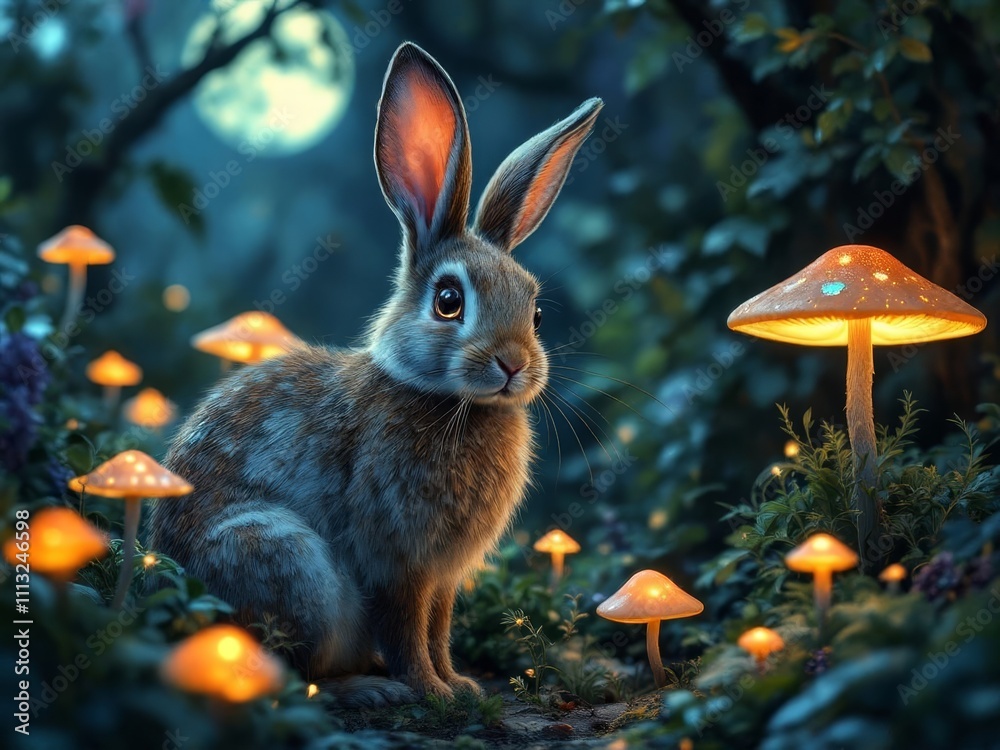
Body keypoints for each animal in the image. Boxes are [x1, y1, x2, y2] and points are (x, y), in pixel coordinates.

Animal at [147, 41, 603, 708]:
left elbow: (438, 628)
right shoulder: (398, 562)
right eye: (448, 301)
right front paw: (433, 693)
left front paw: (460, 685)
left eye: (536, 311)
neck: (444, 399)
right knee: (290, 675)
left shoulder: (444, 576)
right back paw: (369, 690)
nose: (513, 364)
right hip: (282, 558)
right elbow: (408, 630)